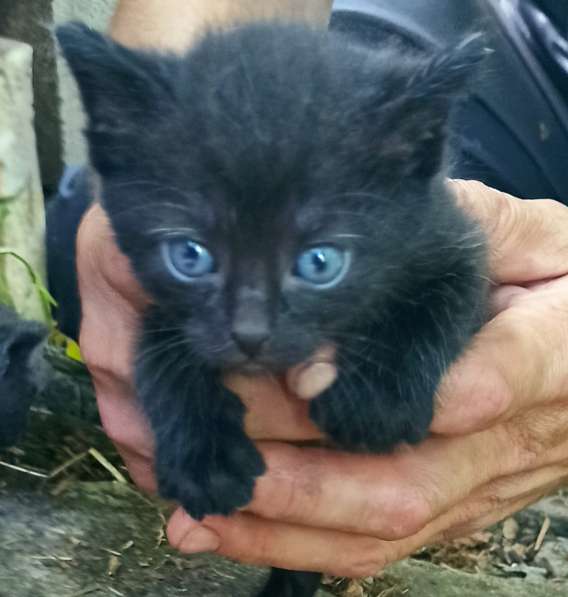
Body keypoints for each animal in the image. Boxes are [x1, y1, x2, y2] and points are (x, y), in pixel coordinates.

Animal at [57, 23, 488, 596]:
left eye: (319, 262)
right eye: (190, 255)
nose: (250, 335)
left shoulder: (452, 239)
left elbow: (444, 299)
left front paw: (376, 401)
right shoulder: (166, 306)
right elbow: (159, 349)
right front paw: (204, 455)